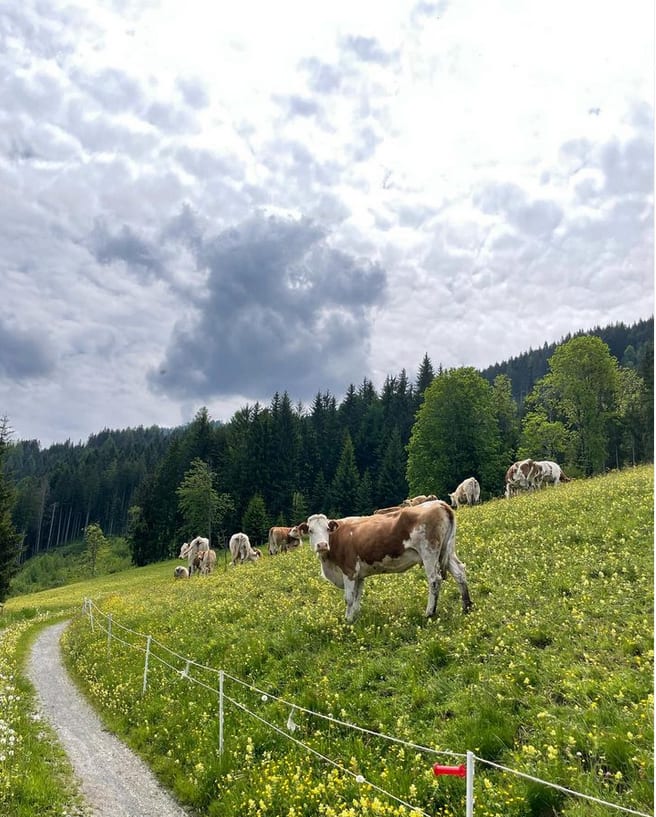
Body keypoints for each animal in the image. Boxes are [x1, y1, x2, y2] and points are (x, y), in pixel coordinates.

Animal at [297, 502, 472, 623]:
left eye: (327, 529)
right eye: (310, 531)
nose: (321, 545)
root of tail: (439, 503)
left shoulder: (349, 570)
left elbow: (349, 598)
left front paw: (347, 620)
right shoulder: (359, 575)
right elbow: (357, 596)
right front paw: (354, 618)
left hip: (429, 551)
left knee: (434, 580)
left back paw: (429, 612)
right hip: (446, 551)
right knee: (460, 572)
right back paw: (467, 606)